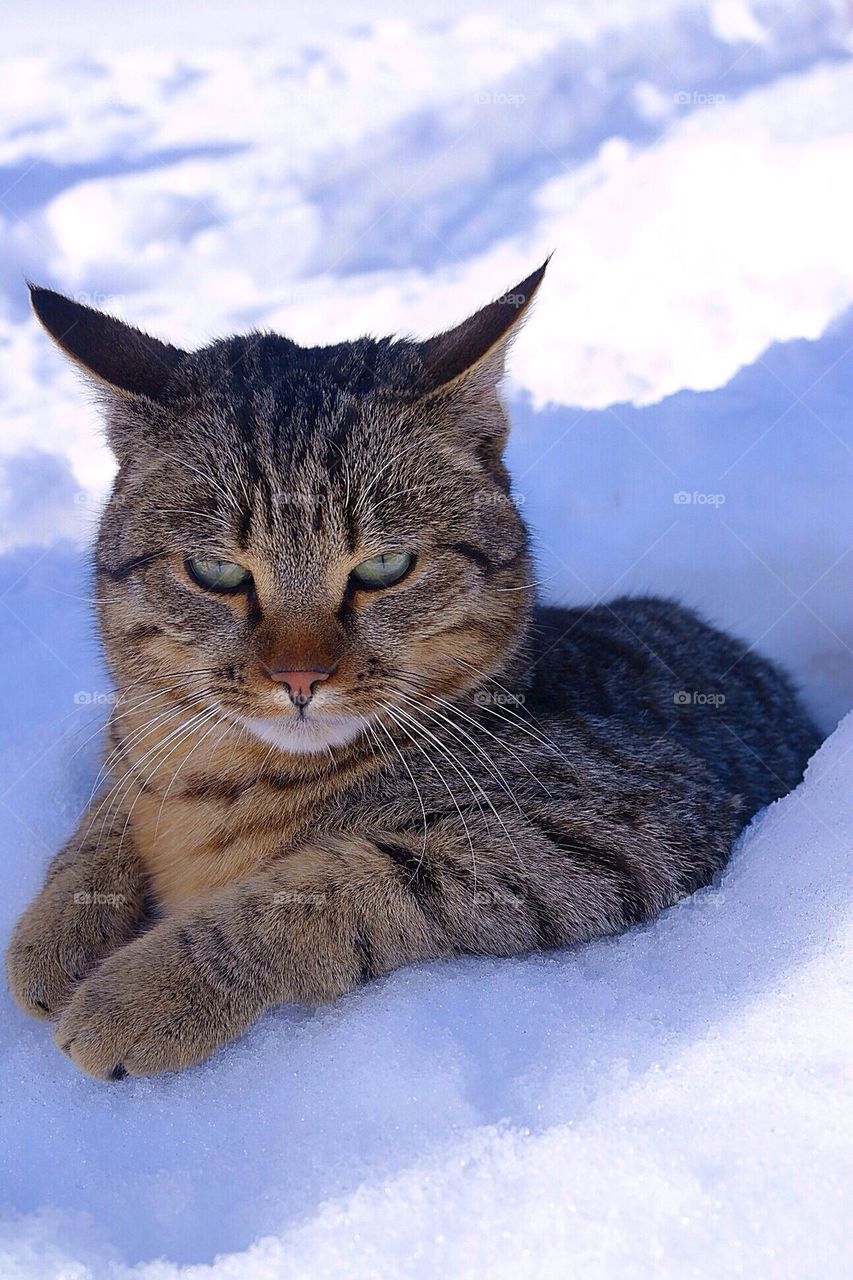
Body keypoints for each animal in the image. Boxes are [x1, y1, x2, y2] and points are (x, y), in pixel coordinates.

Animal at [6, 262, 819, 1080]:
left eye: (385, 567)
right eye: (215, 572)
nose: (298, 679)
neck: (223, 777)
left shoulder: (627, 820)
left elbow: (324, 888)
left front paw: (145, 991)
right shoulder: (138, 749)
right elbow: (104, 818)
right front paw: (55, 931)